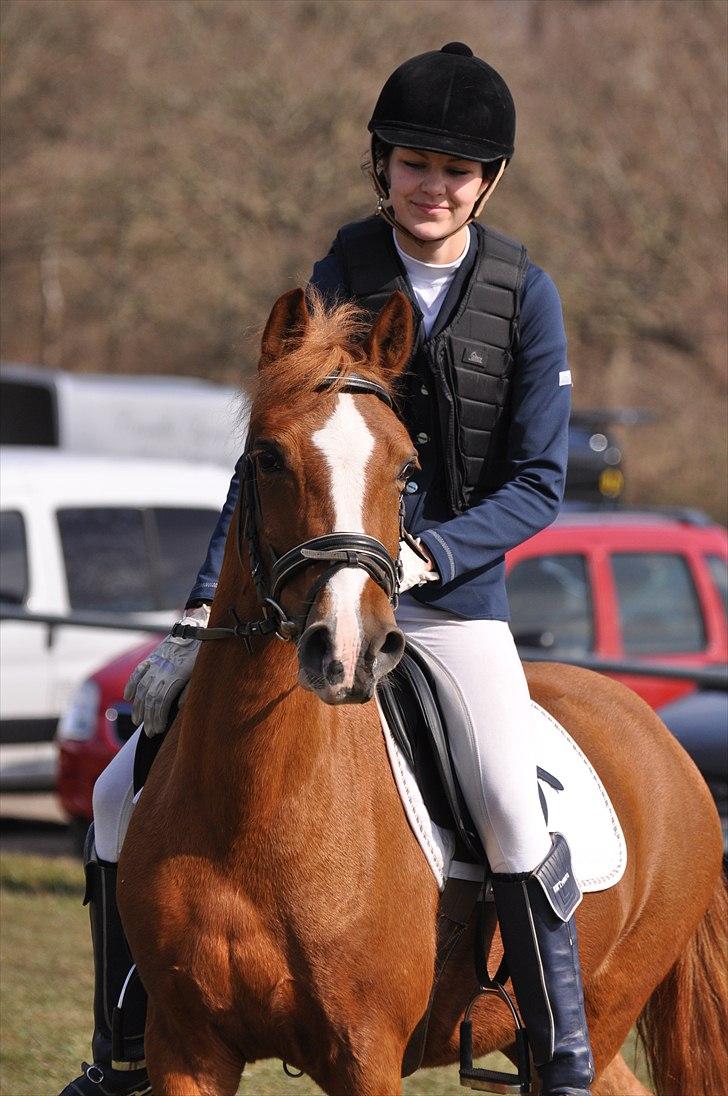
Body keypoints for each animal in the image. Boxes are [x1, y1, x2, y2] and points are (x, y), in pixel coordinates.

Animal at [117, 291, 723, 1096]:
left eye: (407, 471)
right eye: (267, 458)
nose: (350, 650)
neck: (253, 807)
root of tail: (658, 734)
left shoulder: (365, 1057)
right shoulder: (186, 1048)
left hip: (602, 1006)